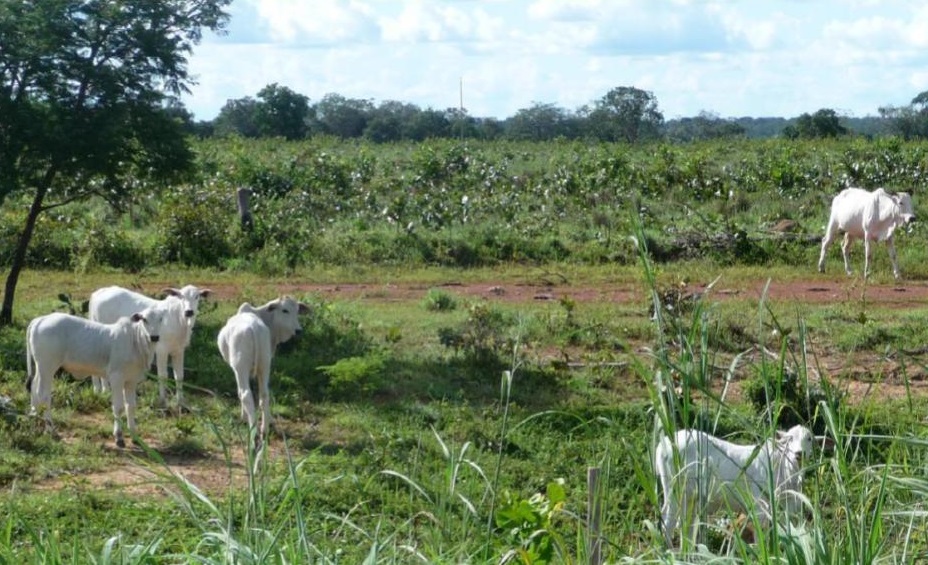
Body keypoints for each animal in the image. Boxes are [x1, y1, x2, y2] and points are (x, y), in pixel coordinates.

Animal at [24, 308, 166, 446]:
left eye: (160, 319)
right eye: (144, 319)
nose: (154, 337)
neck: (135, 342)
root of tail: (40, 319)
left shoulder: (131, 380)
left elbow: (130, 407)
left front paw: (134, 436)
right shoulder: (116, 378)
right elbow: (119, 407)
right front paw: (119, 436)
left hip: (41, 367)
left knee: (34, 387)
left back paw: (34, 417)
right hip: (47, 366)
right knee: (44, 395)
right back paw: (51, 430)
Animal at [217, 296, 308, 440]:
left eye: (297, 311)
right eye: (285, 310)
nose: (298, 330)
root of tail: (253, 327)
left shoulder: (238, 370)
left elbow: (240, 392)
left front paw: (244, 417)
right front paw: (270, 419)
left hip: (241, 367)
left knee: (246, 394)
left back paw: (253, 429)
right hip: (265, 364)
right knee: (264, 393)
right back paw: (264, 429)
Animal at [652, 426, 812, 544]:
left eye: (809, 439)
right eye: (790, 439)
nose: (799, 453)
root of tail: (663, 443)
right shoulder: (760, 507)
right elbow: (760, 536)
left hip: (691, 498)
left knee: (687, 526)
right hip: (674, 491)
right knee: (669, 523)